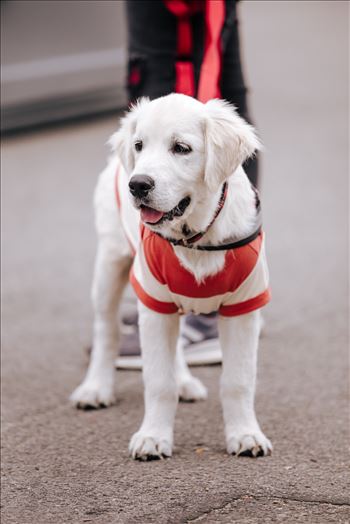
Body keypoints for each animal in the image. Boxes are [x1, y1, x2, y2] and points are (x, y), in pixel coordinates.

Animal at [71, 93, 272, 458]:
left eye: (181, 148)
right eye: (139, 145)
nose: (137, 184)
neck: (196, 236)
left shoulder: (243, 306)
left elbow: (238, 381)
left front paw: (246, 435)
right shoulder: (152, 302)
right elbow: (157, 381)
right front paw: (153, 436)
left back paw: (185, 382)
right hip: (111, 263)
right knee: (106, 330)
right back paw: (95, 388)